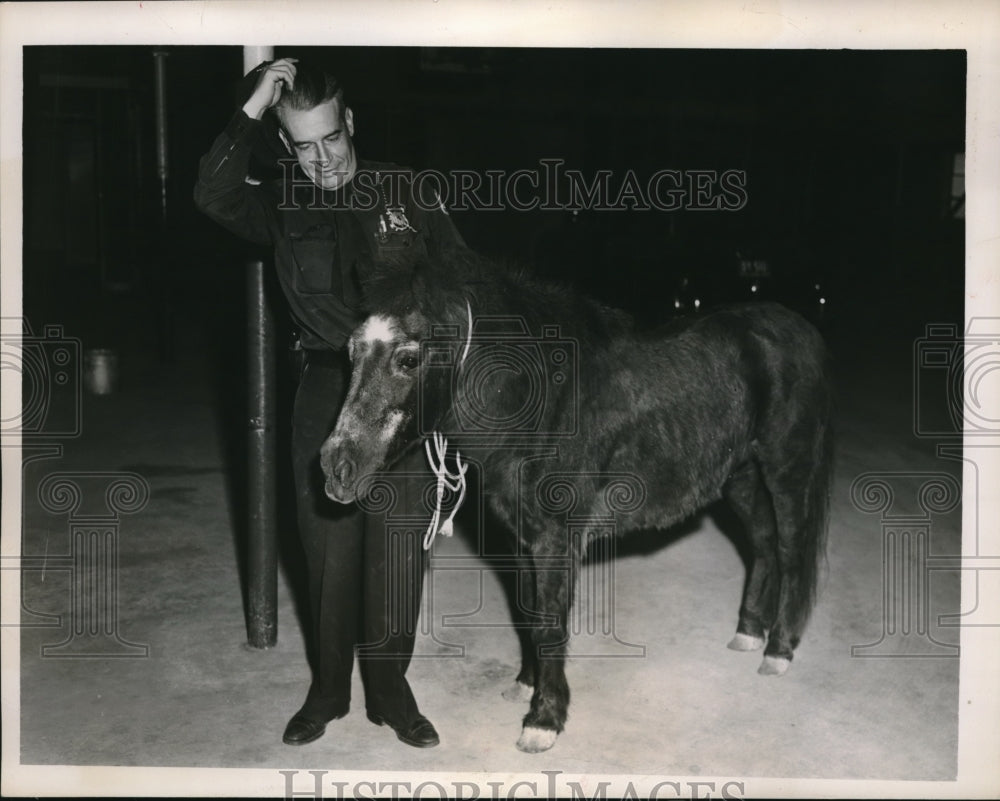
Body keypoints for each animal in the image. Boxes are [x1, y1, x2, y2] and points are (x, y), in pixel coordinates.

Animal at [320, 248, 836, 752]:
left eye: (408, 359)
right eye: (351, 350)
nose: (336, 468)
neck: (542, 405)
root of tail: (799, 328)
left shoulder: (555, 539)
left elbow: (551, 624)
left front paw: (544, 721)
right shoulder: (522, 538)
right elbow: (529, 615)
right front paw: (526, 686)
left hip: (786, 470)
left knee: (790, 551)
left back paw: (778, 651)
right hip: (740, 476)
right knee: (763, 546)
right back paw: (749, 633)